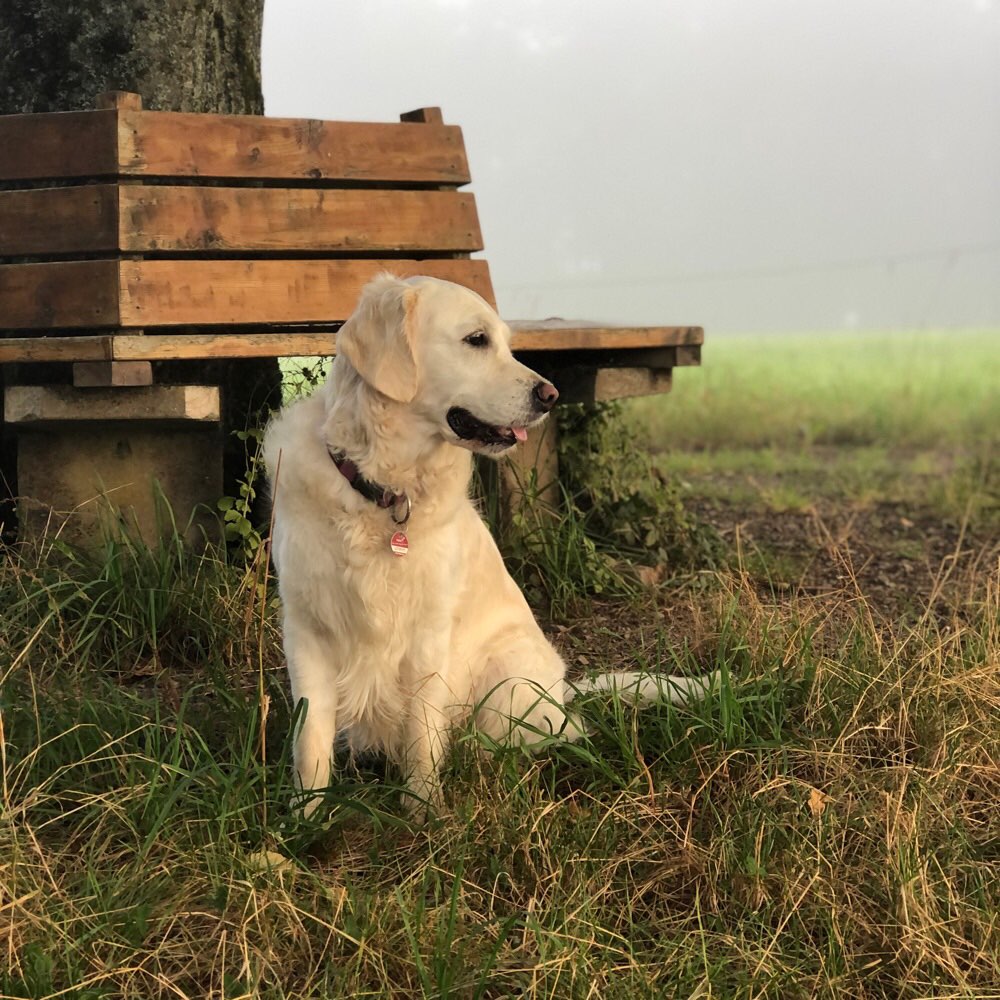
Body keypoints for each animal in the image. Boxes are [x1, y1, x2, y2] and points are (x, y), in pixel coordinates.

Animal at [260, 274, 712, 812]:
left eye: (507, 343)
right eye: (476, 340)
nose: (550, 394)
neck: (384, 491)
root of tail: (565, 692)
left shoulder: (429, 634)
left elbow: (422, 733)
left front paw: (424, 811)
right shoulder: (306, 627)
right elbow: (311, 738)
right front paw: (303, 816)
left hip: (506, 683)